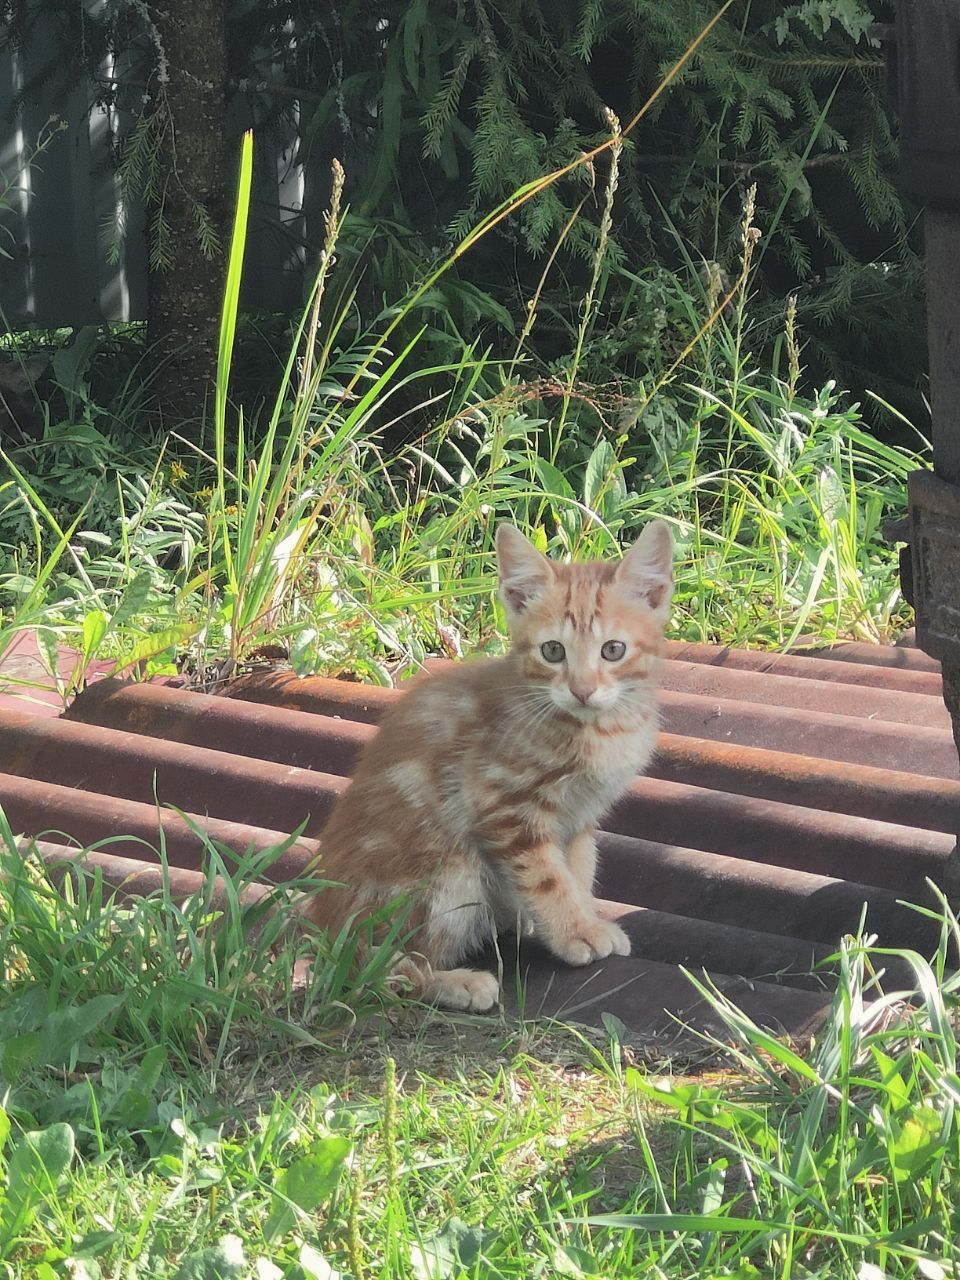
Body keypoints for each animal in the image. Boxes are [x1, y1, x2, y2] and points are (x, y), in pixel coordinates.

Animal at [304, 519, 670, 1008]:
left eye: (613, 650)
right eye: (553, 651)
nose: (582, 690)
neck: (599, 729)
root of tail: (323, 925)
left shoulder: (580, 817)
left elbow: (578, 869)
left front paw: (583, 918)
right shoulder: (503, 804)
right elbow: (548, 878)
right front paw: (576, 931)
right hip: (450, 870)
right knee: (370, 969)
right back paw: (454, 982)